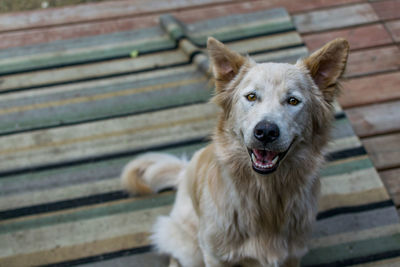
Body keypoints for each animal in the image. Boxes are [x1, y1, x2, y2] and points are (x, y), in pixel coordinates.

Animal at [122, 36, 350, 267]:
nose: (265, 132)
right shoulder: (215, 256)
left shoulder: (292, 256)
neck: (265, 196)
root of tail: (184, 172)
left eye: (293, 101)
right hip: (190, 248)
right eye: (251, 97)